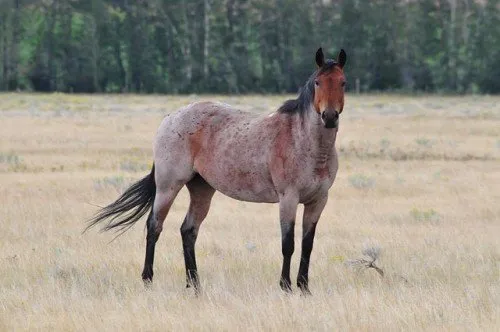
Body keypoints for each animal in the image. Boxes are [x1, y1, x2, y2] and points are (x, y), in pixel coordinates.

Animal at [88, 48, 346, 294]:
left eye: (342, 82)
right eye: (317, 82)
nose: (329, 117)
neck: (305, 143)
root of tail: (170, 118)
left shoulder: (318, 201)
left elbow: (307, 245)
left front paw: (304, 287)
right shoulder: (288, 198)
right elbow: (288, 244)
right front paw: (286, 286)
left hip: (202, 189)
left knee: (188, 230)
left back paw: (194, 285)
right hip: (168, 186)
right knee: (154, 226)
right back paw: (148, 280)